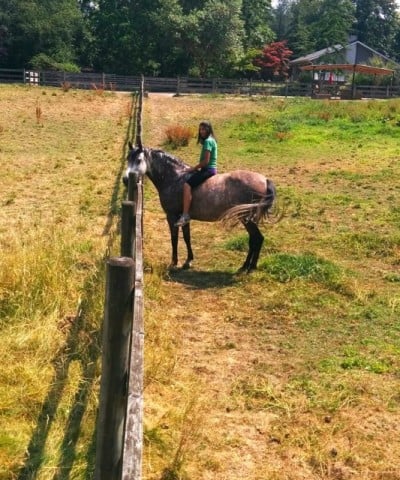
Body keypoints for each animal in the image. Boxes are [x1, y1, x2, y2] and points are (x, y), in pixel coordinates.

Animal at [123, 141, 276, 272]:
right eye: (128, 159)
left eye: (138, 160)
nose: (125, 179)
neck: (175, 178)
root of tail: (265, 180)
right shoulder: (183, 218)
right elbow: (186, 238)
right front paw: (188, 261)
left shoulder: (171, 216)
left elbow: (174, 239)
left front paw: (174, 262)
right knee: (254, 239)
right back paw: (247, 266)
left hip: (246, 218)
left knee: (257, 238)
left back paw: (249, 267)